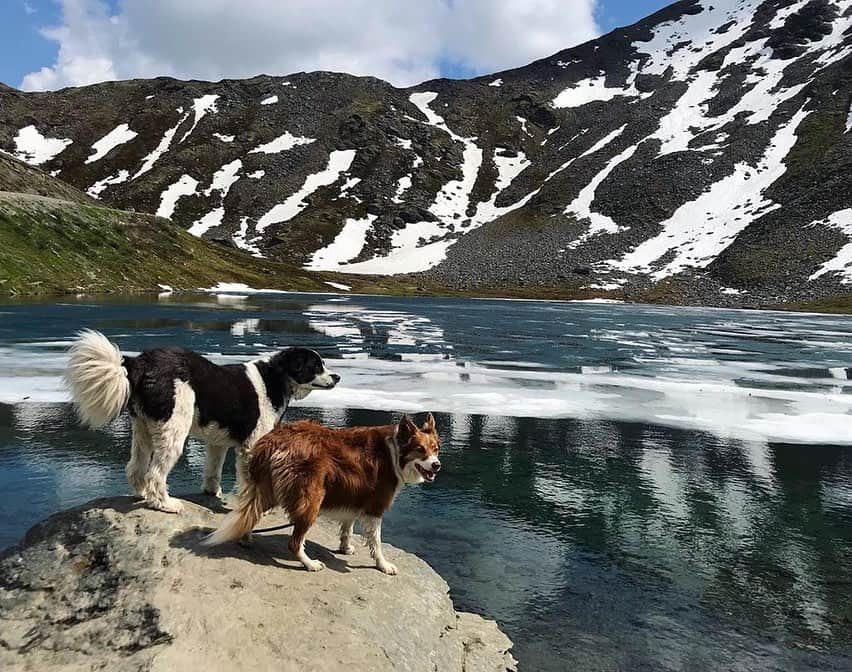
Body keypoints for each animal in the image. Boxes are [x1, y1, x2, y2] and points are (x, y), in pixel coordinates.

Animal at [65, 330, 338, 516]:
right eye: (316, 365)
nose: (337, 376)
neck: (275, 378)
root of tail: (139, 362)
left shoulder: (218, 443)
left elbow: (212, 470)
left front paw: (211, 493)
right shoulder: (250, 446)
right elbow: (250, 483)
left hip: (143, 428)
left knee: (136, 468)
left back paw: (142, 495)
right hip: (173, 430)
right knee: (155, 473)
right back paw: (165, 504)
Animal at [205, 412, 440, 576]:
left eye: (436, 449)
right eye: (420, 450)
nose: (437, 465)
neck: (395, 452)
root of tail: (274, 439)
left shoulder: (354, 494)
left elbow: (347, 526)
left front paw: (345, 547)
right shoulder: (375, 507)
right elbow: (376, 542)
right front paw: (383, 565)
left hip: (269, 490)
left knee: (250, 513)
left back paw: (246, 539)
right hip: (311, 499)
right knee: (294, 542)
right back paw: (310, 564)